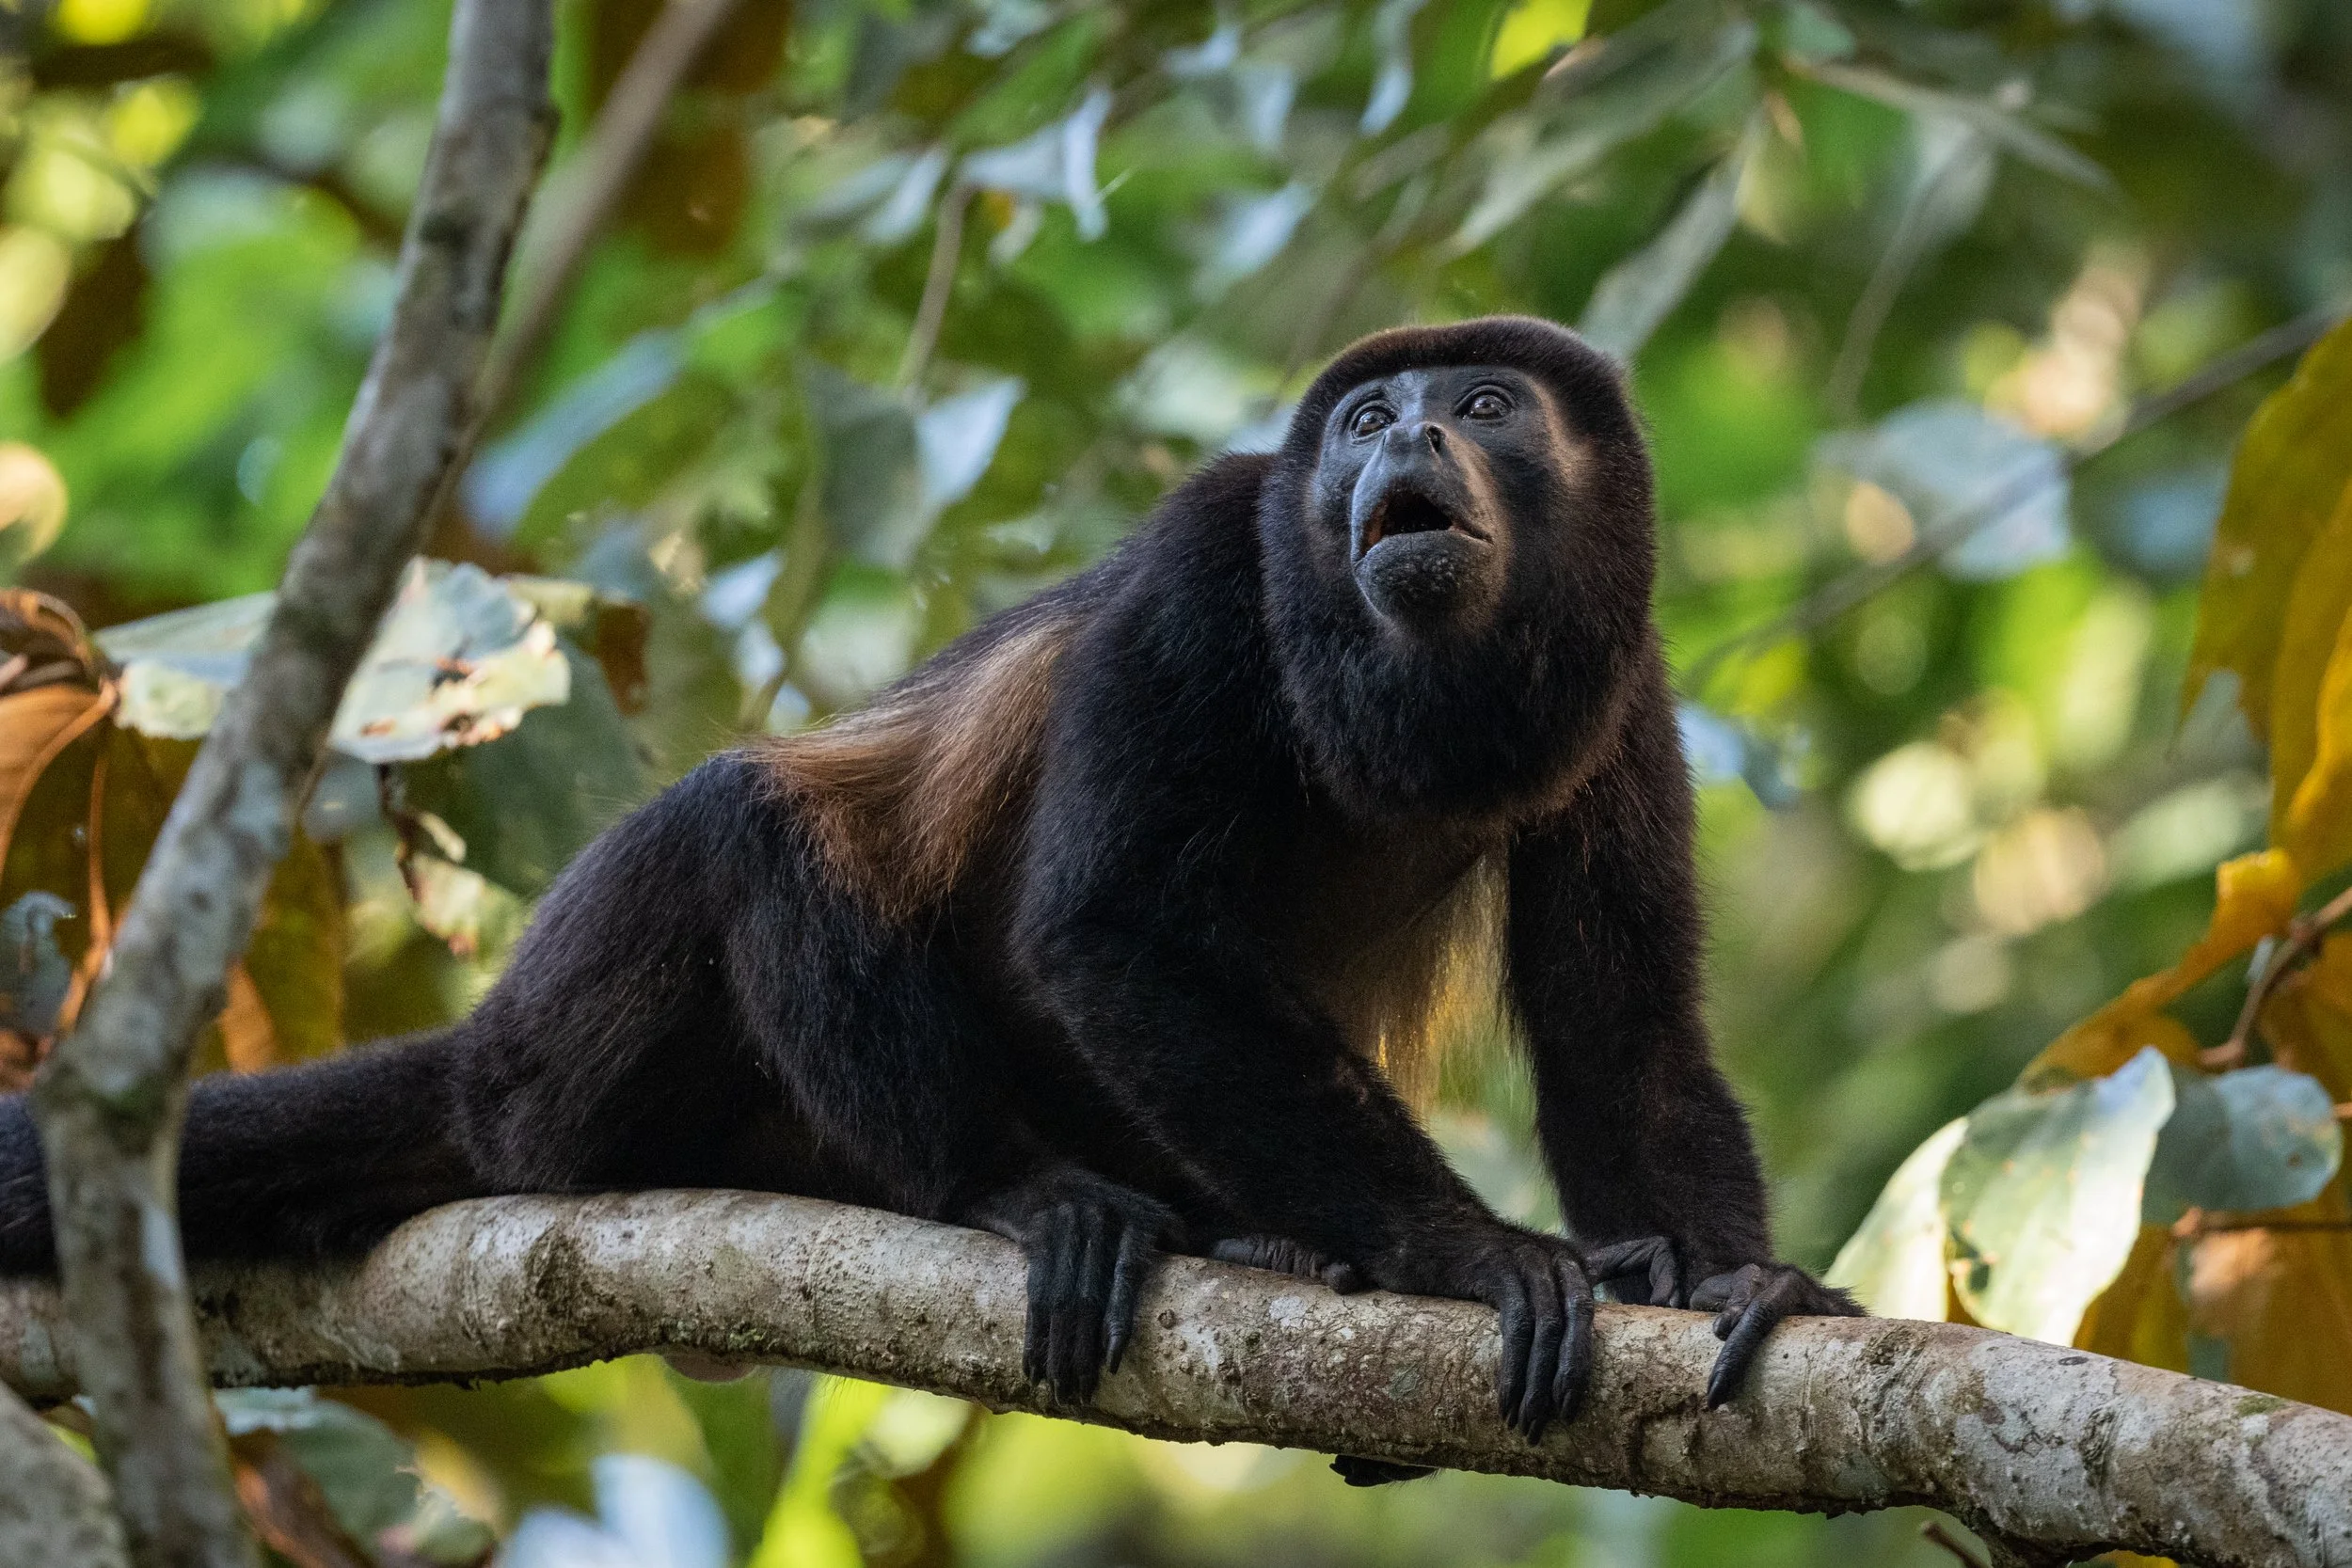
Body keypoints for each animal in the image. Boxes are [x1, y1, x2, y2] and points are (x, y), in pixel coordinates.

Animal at [0, 316, 1857, 1471]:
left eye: (1479, 406)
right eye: (1360, 420)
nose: (1396, 432)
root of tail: (480, 1060)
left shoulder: (1624, 685)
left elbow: (1627, 1031)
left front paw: (1730, 1278)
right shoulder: (1203, 561)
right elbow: (1108, 926)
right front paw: (1466, 1254)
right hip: (560, 1066)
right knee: (743, 822)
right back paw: (1027, 1198)